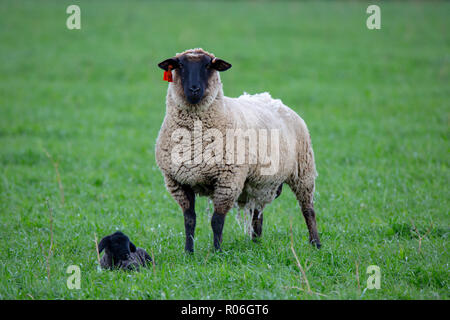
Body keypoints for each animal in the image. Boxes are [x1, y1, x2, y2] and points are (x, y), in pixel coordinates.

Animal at [156, 47, 322, 252]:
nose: (194, 89)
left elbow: (216, 221)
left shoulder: (228, 180)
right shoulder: (177, 182)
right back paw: (256, 241)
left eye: (208, 65)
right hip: (259, 182)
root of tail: (274, 100)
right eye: (179, 65)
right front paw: (188, 252)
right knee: (258, 212)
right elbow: (189, 220)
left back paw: (316, 243)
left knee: (308, 209)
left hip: (303, 171)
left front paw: (217, 252)